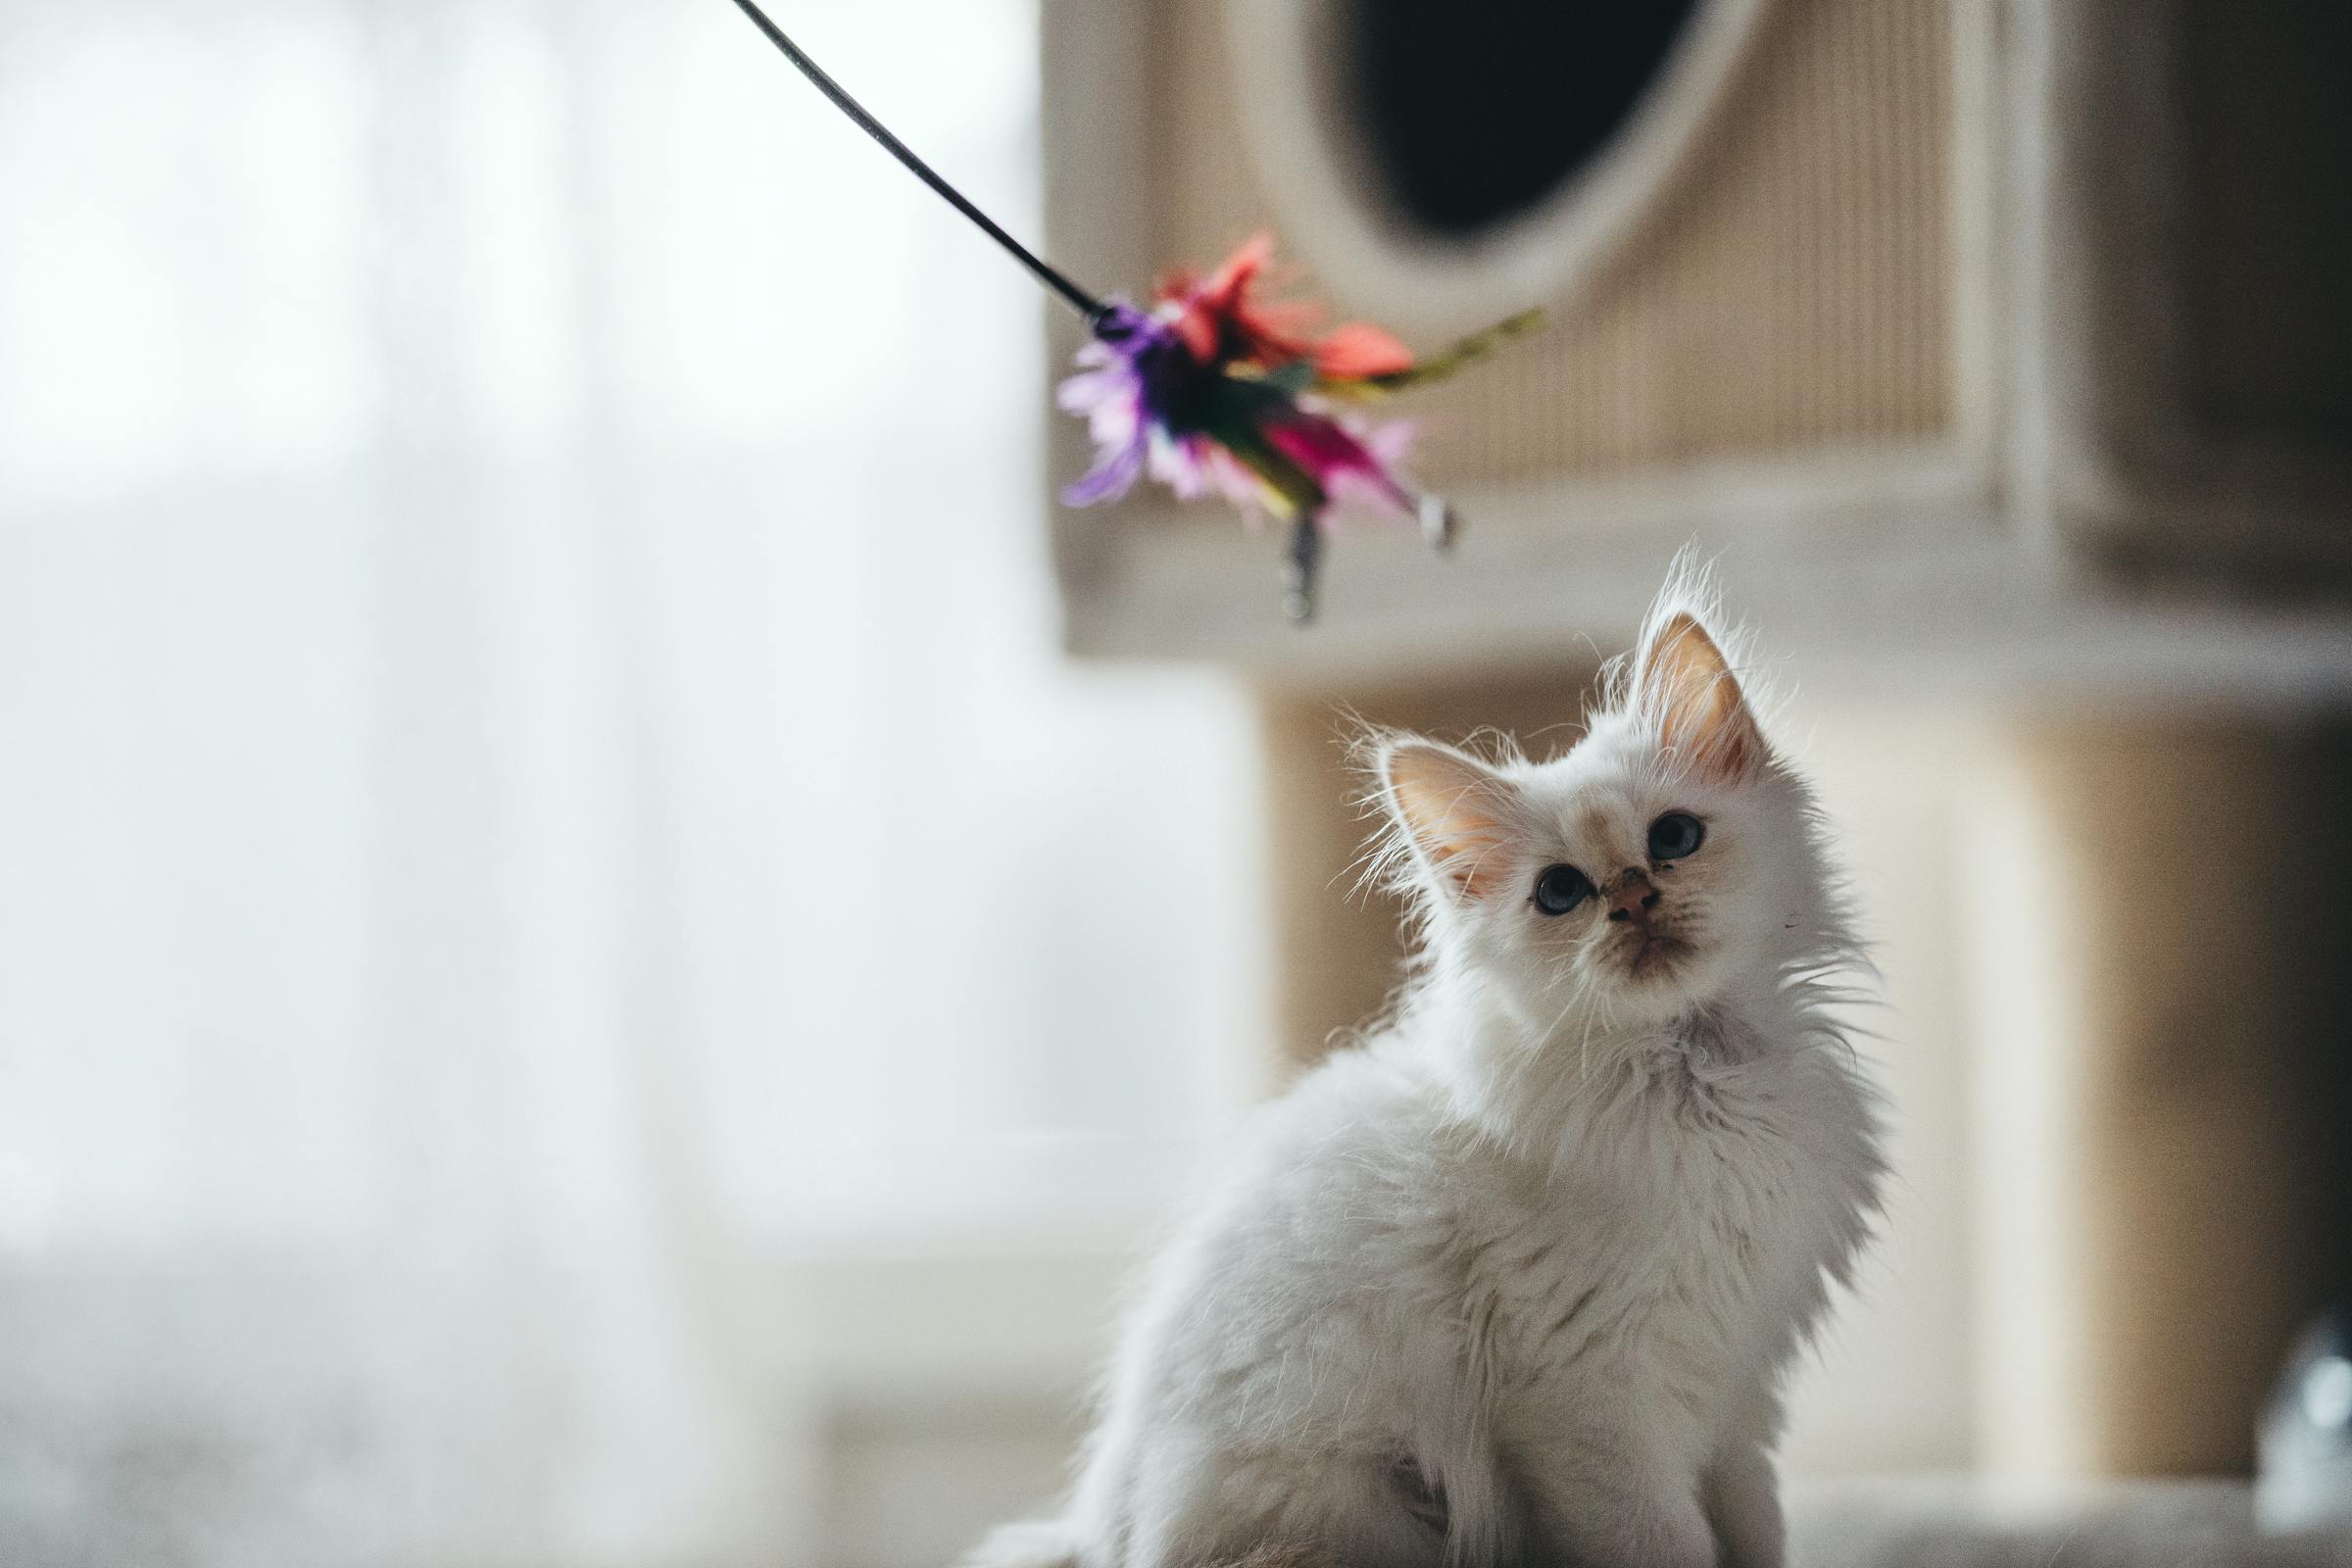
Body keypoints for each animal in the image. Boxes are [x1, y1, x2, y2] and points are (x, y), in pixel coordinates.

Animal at [968, 580, 1872, 1568]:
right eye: (1561, 893)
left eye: (1673, 838)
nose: (1634, 898)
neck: (1702, 1085)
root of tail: (1096, 1535)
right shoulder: (1593, 1399)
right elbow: (1667, 1546)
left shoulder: (1741, 1386)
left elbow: (1758, 1533)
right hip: (1361, 1503)